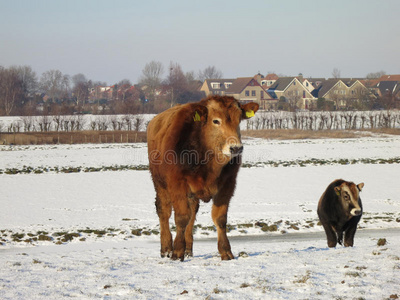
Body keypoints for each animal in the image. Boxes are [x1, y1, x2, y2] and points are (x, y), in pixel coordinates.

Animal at [147, 95, 260, 260]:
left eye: (239, 119)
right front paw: (177, 251)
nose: (236, 148)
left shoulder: (228, 184)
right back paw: (166, 248)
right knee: (164, 212)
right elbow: (181, 217)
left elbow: (220, 219)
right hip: (159, 183)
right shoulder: (177, 184)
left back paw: (188, 249)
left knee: (192, 213)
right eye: (216, 121)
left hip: (192, 194)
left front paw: (225, 251)